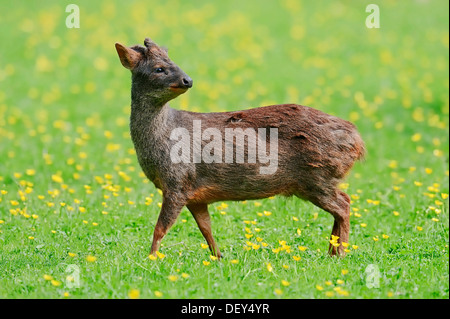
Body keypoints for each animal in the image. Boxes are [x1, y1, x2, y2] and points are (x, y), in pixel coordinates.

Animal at [114, 37, 364, 260]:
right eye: (159, 68)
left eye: (172, 62)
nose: (188, 80)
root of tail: (357, 141)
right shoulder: (195, 194)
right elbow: (206, 229)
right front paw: (218, 256)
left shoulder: (178, 181)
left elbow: (160, 228)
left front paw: (150, 258)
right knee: (343, 204)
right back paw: (332, 251)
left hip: (317, 176)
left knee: (344, 204)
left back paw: (340, 253)